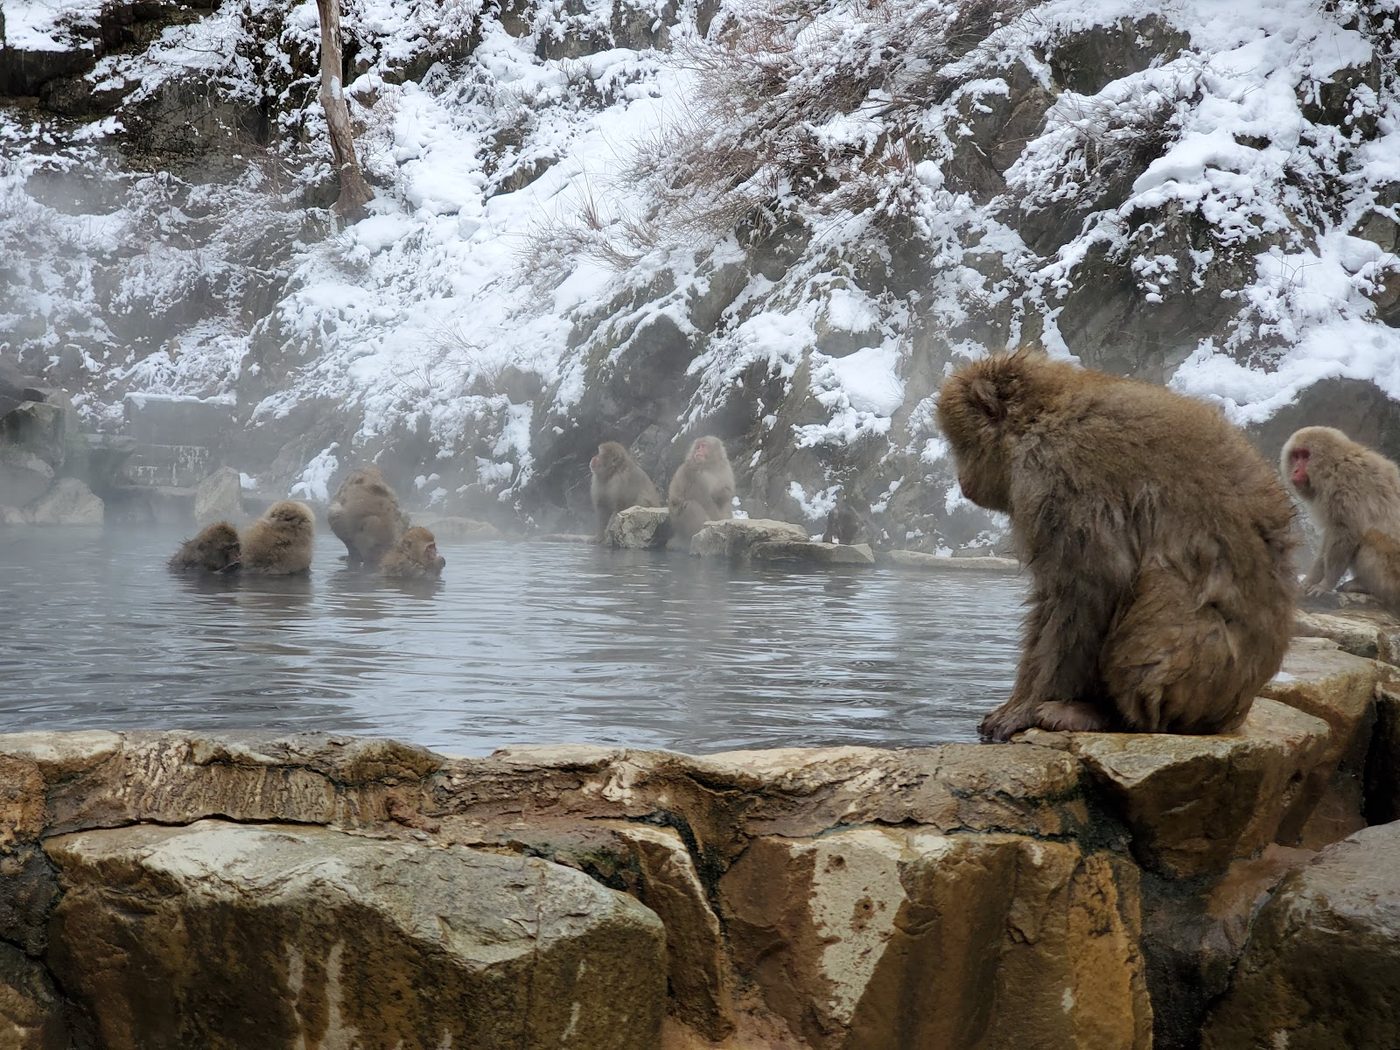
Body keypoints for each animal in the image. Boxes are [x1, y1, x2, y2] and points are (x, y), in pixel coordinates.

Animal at [937, 350, 1296, 742]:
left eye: (962, 446)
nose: (962, 482)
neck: (1042, 418)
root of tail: (1234, 711)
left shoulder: (1066, 478)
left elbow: (1089, 588)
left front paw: (1027, 709)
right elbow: (1051, 597)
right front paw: (1015, 703)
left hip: (1200, 676)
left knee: (1158, 596)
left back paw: (1103, 715)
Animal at [1281, 426, 1400, 610]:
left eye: (1305, 455)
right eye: (1296, 456)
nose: (1295, 470)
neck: (1334, 465)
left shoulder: (1345, 485)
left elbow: (1345, 532)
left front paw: (1325, 585)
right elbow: (1329, 537)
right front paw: (1310, 580)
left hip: (1392, 572)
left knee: (1369, 539)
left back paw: (1366, 586)